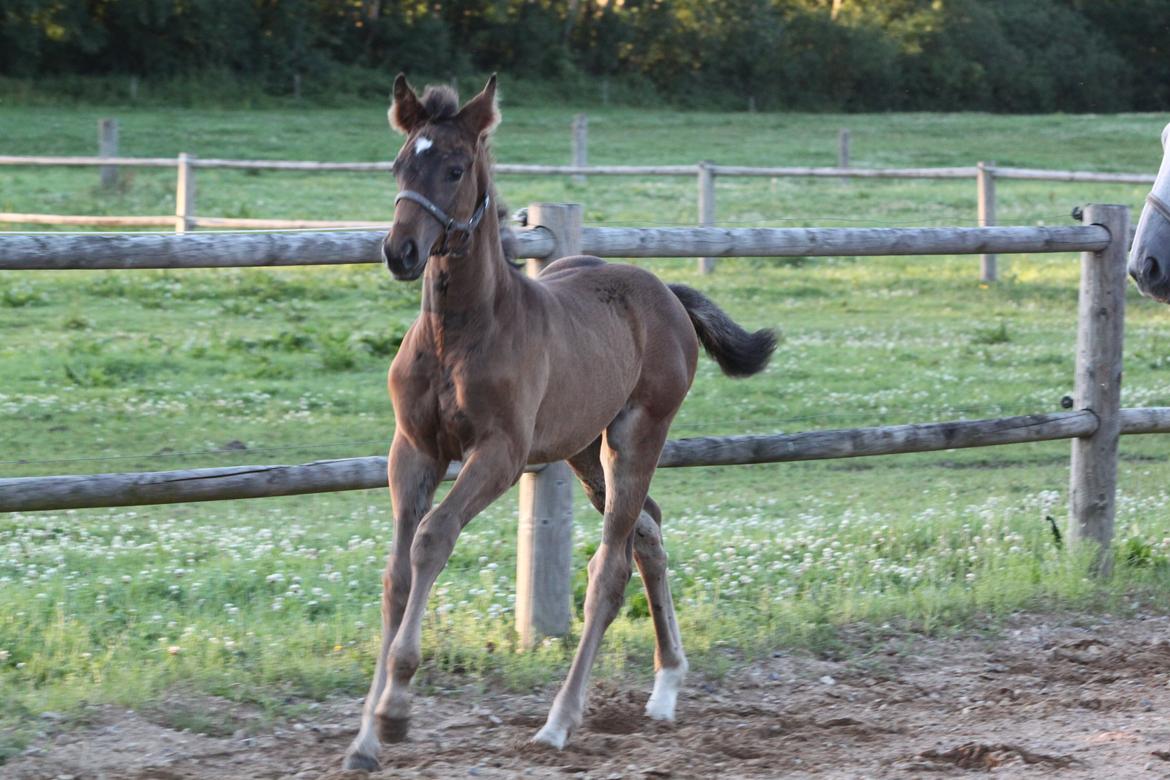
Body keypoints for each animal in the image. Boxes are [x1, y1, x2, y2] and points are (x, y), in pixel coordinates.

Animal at [341, 76, 772, 771]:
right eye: (400, 165)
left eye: (455, 168)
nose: (400, 252)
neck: (459, 333)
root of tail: (667, 294)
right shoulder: (412, 451)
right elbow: (397, 575)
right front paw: (364, 740)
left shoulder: (500, 453)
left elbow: (432, 539)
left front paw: (396, 710)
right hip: (582, 449)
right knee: (648, 532)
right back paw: (665, 686)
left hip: (635, 437)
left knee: (611, 568)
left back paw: (559, 722)